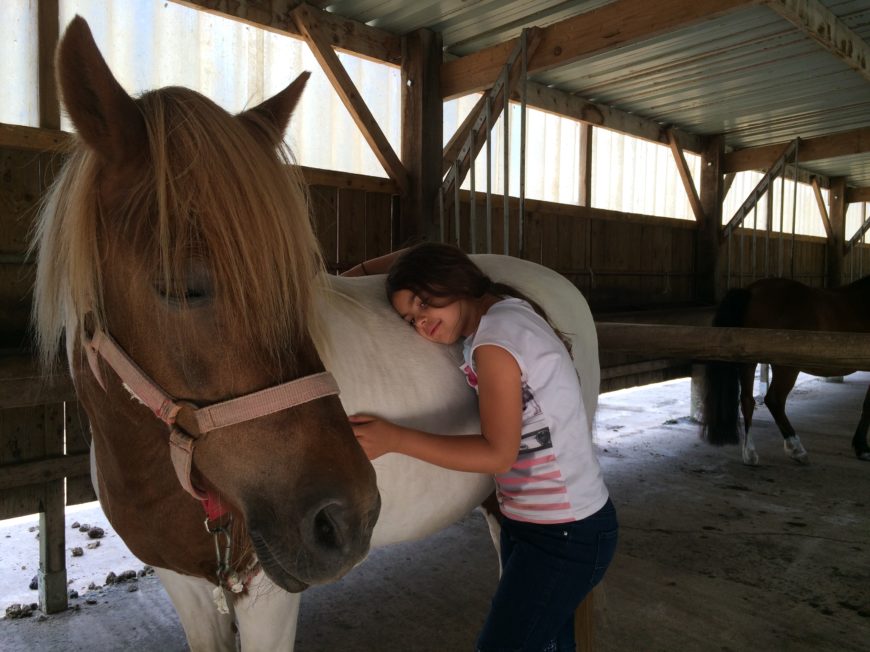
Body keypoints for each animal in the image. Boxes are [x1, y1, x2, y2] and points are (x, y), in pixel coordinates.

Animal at [700, 274, 870, 464]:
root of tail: (751, 291)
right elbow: (868, 406)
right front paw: (863, 448)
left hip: (749, 360)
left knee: (747, 400)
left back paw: (750, 453)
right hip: (786, 367)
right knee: (774, 400)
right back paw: (796, 448)